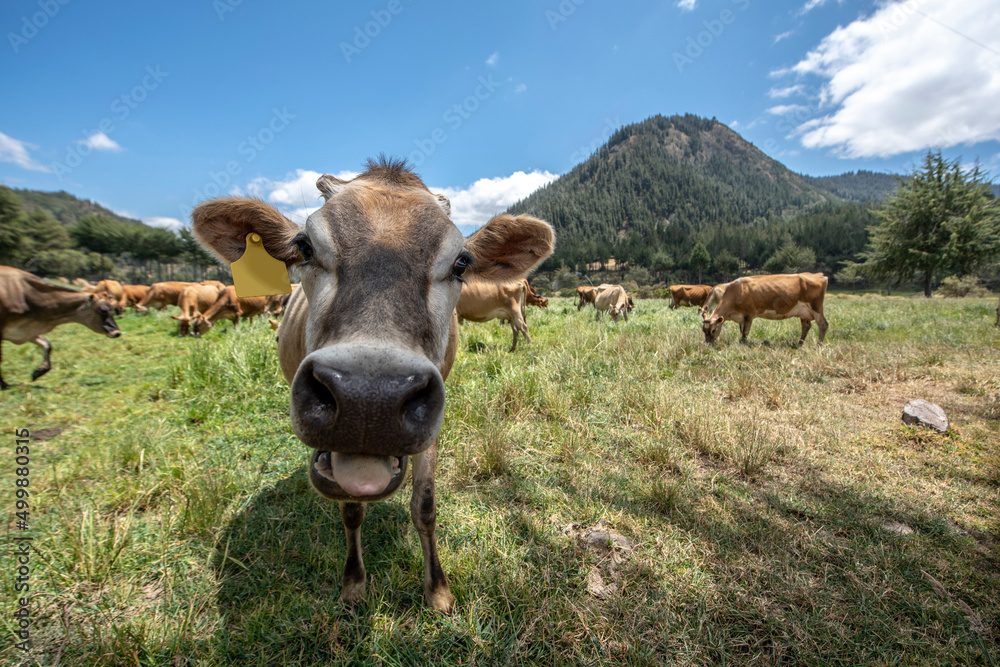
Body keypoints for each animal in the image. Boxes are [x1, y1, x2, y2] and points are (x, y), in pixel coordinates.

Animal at [191, 158, 553, 611]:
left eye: (461, 263)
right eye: (305, 247)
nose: (369, 399)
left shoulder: (432, 424)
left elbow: (425, 506)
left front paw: (438, 591)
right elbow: (351, 511)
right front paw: (353, 584)